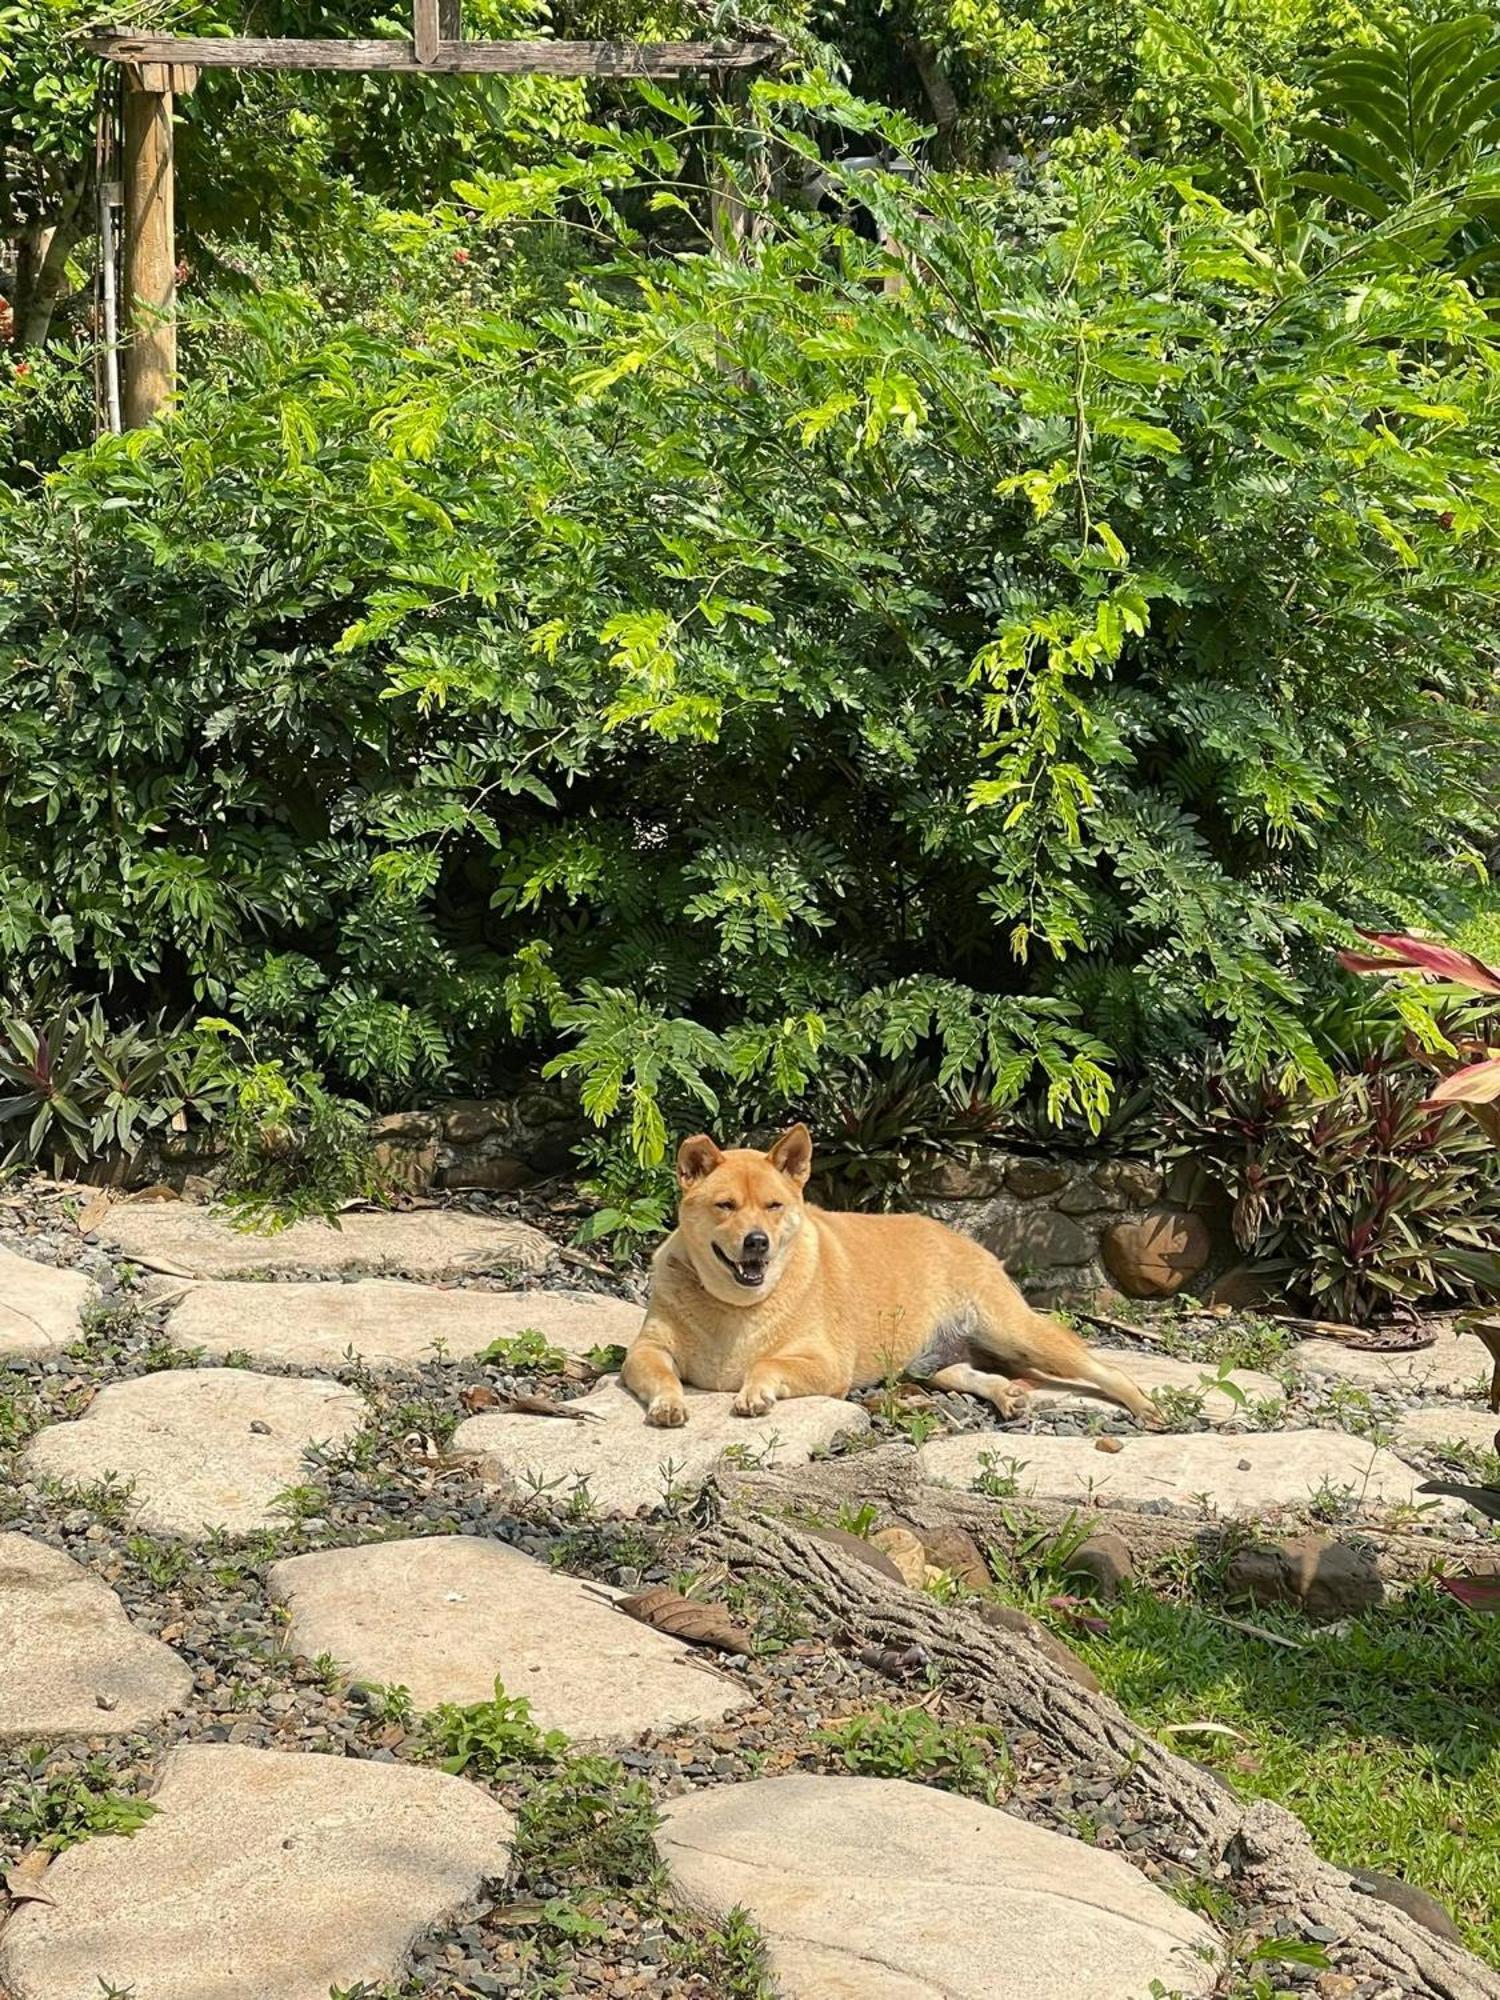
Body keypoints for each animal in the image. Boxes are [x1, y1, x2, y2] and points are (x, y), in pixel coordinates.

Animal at [620, 1136, 1160, 1432]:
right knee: (965, 1372)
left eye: (774, 1206)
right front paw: (670, 1403)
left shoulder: (826, 1365)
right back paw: (1005, 1393)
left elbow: (767, 1362)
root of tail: (966, 1239)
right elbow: (662, 1374)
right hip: (930, 1363)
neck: (736, 1306)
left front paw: (755, 1392)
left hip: (1014, 1331)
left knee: (1103, 1367)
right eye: (726, 1206)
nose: (757, 1242)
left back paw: (1143, 1404)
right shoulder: (645, 1352)